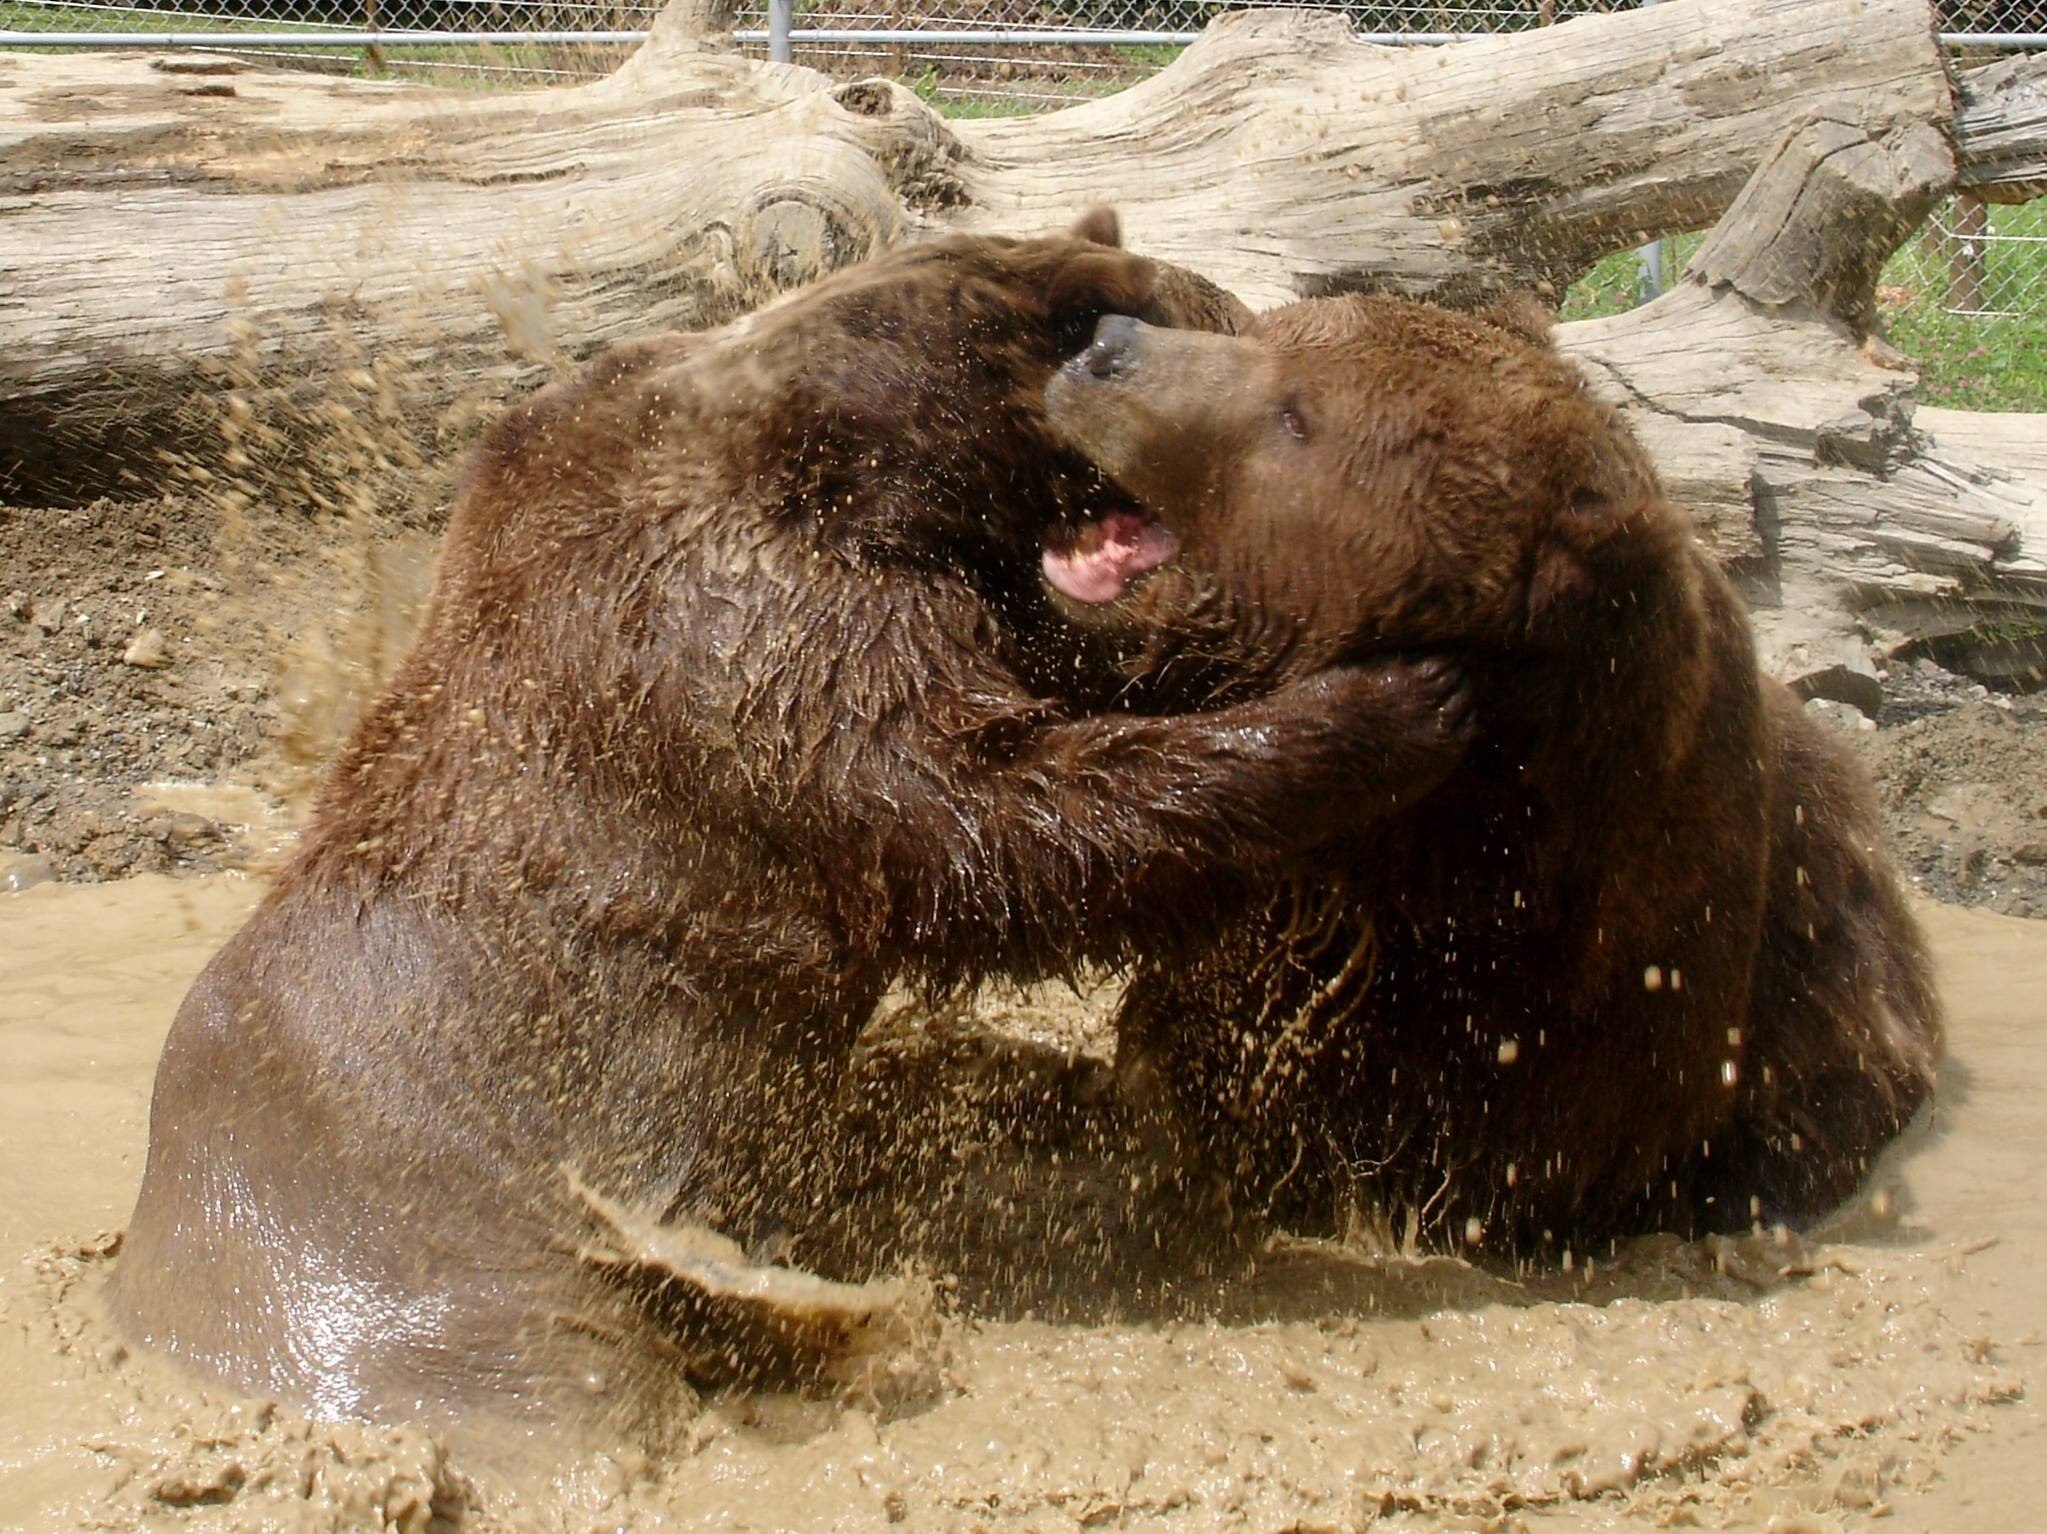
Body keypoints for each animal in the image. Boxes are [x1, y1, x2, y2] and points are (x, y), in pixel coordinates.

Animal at [112, 221, 1473, 1441]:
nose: (1241, 317)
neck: (853, 461)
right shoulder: (726, 643)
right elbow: (980, 818)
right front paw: (1380, 707)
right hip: (440, 1280)